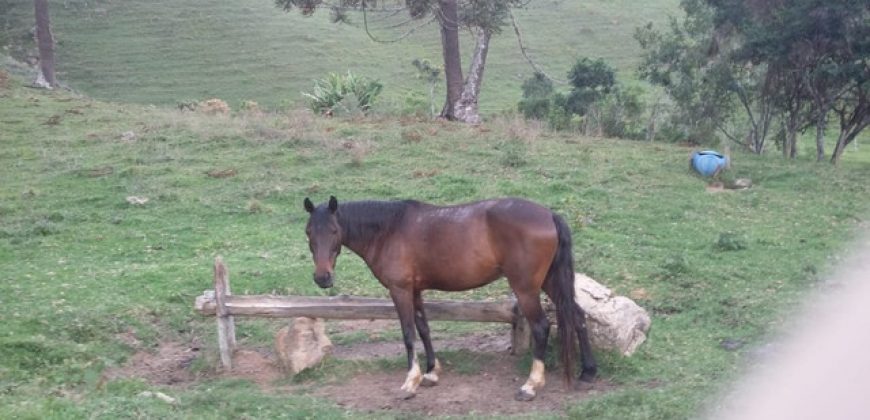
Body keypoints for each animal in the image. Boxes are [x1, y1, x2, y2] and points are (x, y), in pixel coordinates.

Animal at [304, 197, 596, 400]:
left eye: (333, 230)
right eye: (308, 232)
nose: (322, 278)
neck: (389, 229)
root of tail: (548, 214)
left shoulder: (400, 290)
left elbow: (408, 333)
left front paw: (410, 381)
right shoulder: (415, 291)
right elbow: (423, 328)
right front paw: (431, 372)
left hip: (526, 289)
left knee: (541, 327)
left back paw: (531, 385)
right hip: (550, 282)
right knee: (578, 316)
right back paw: (588, 372)